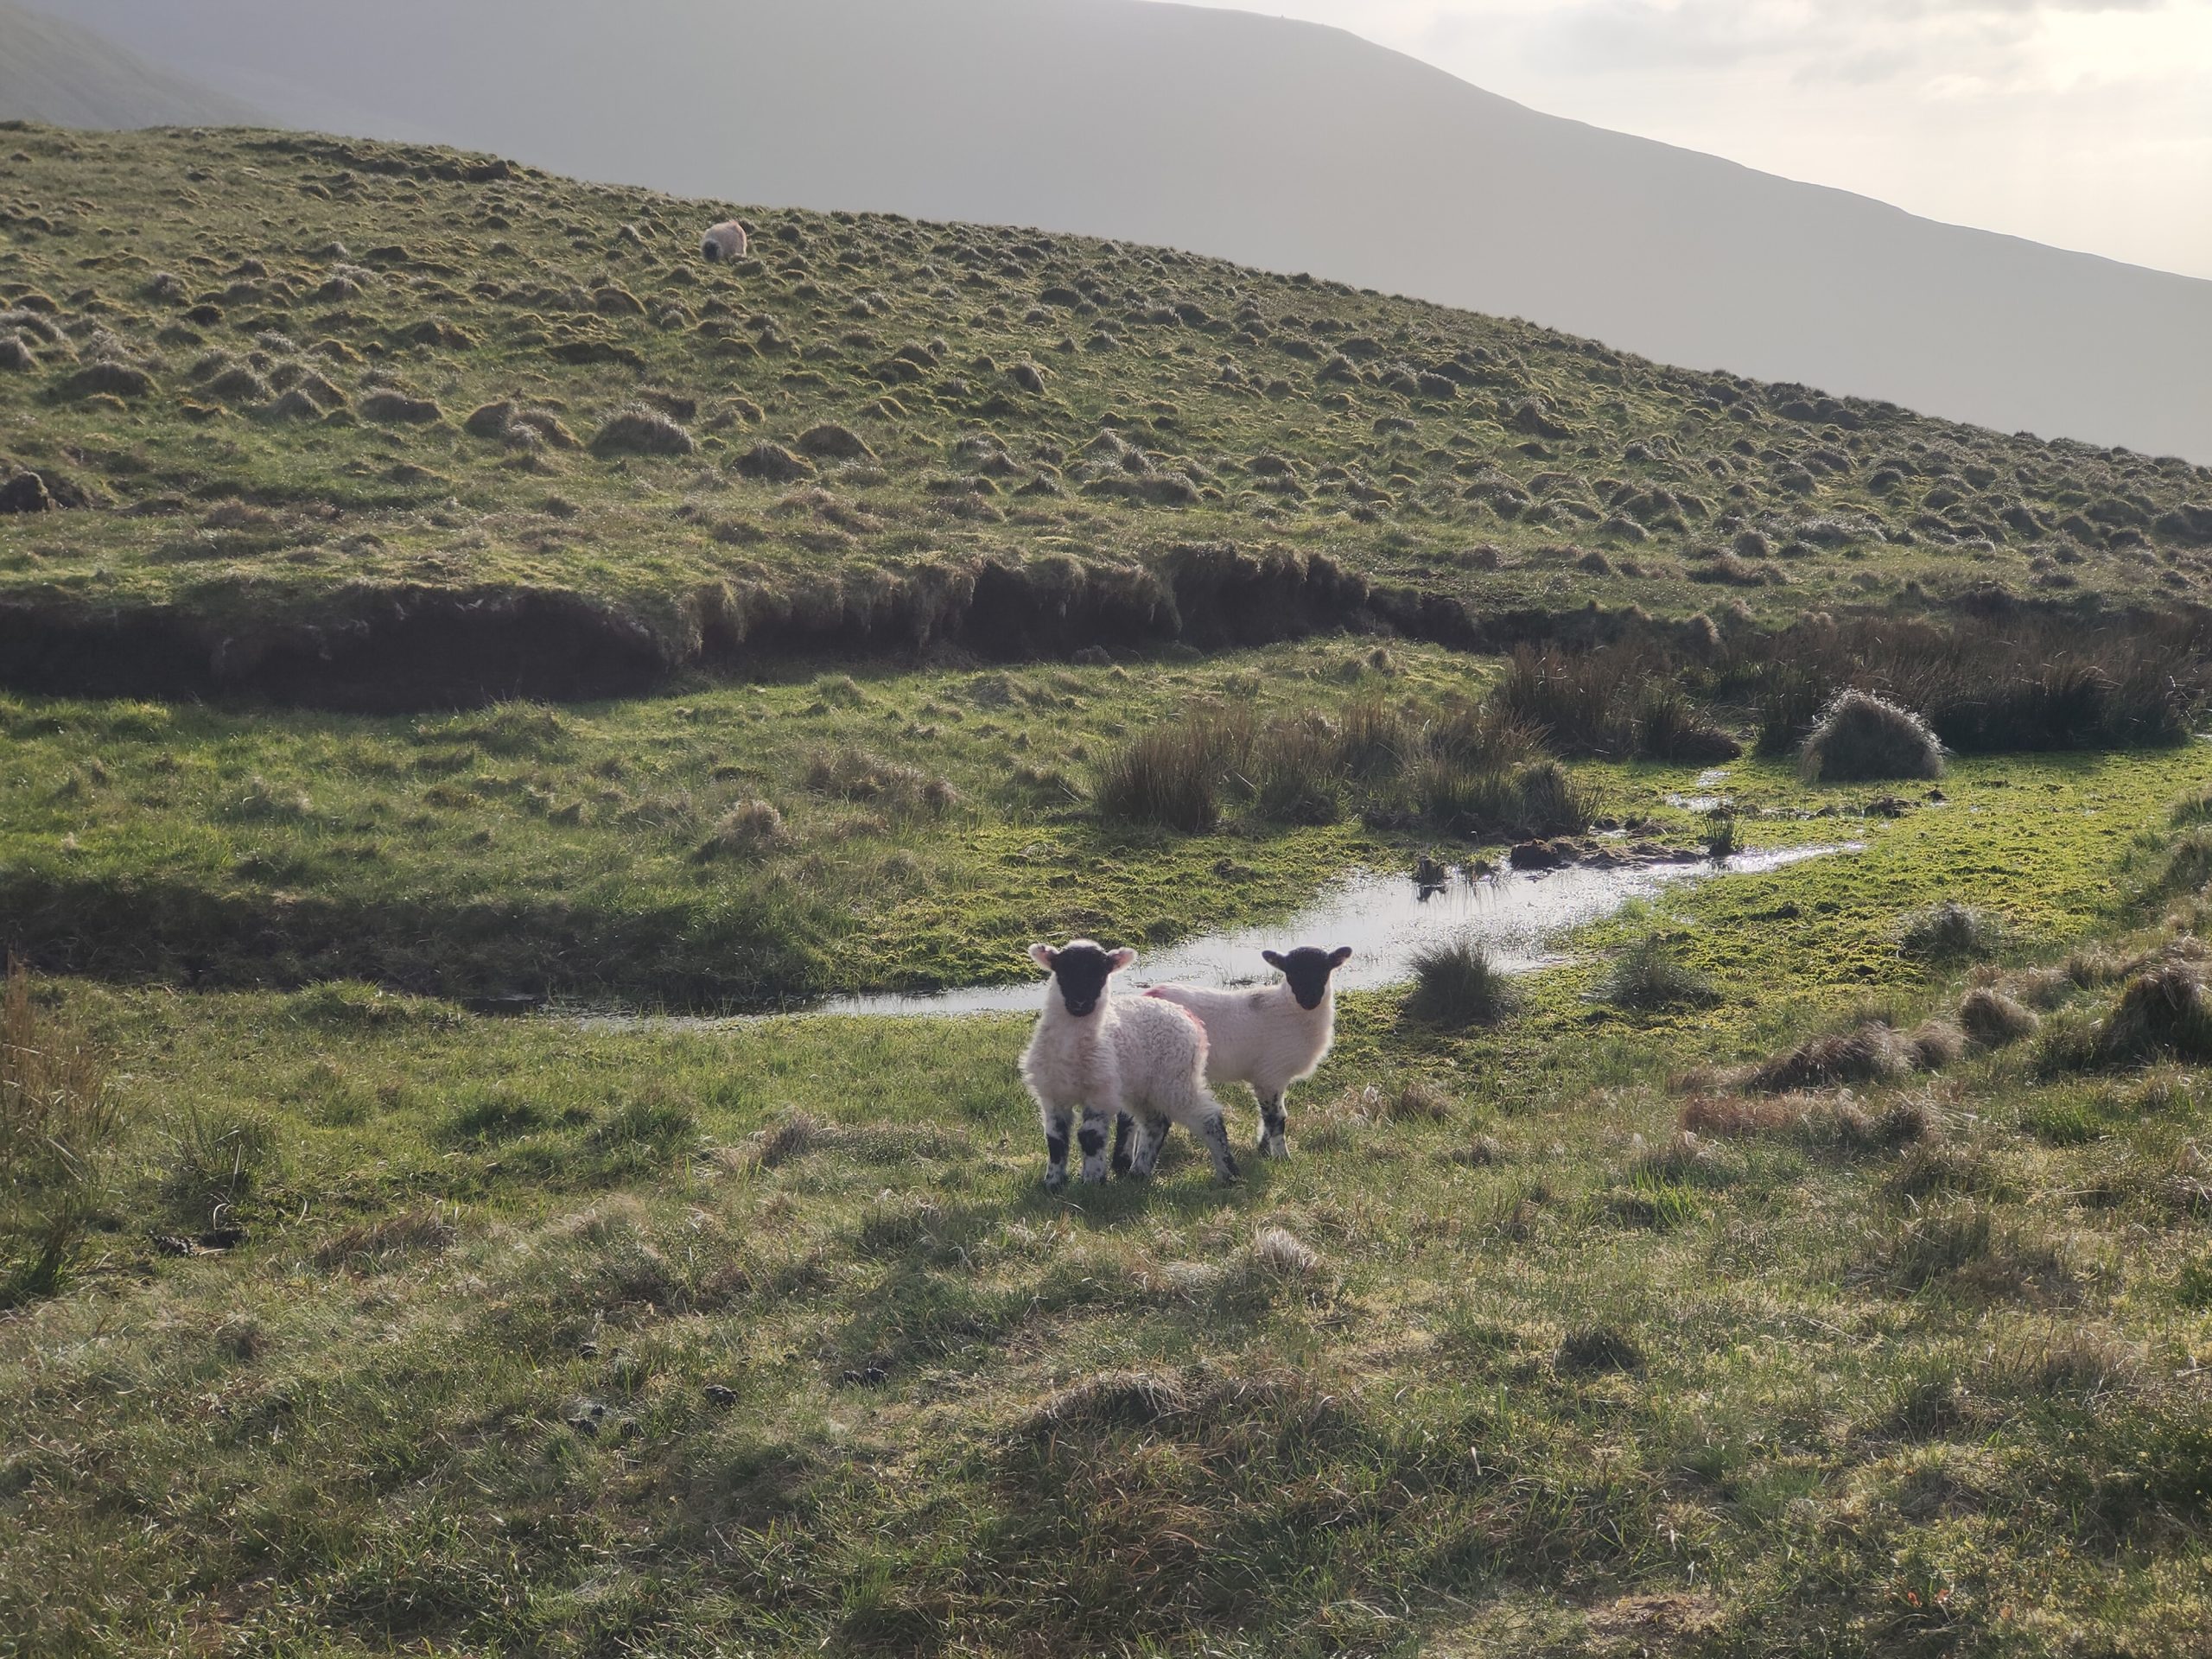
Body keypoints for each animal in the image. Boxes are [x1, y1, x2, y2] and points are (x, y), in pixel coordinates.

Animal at [1013, 938, 1238, 1194]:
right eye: (1062, 970)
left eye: (1101, 973)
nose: (1080, 1002)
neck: (1072, 1047)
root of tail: (1189, 1017)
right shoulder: (1052, 1094)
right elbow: (1055, 1139)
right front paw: (1053, 1183)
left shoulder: (1101, 1092)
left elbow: (1090, 1137)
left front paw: (1092, 1182)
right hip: (1141, 1086)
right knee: (1155, 1123)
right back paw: (1138, 1173)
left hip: (1176, 1078)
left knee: (1209, 1117)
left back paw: (1229, 1174)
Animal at [1141, 942, 1344, 1159]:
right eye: (1290, 973)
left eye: (1324, 971)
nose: (1309, 1001)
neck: (1289, 1010)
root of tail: (1149, 993)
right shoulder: (1270, 1075)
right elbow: (1276, 1118)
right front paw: (1282, 1157)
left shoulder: (1271, 1077)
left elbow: (1269, 1116)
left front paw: (1264, 1150)